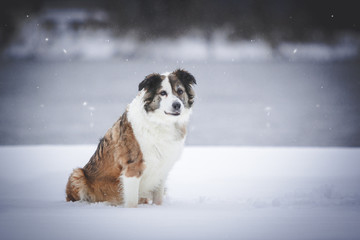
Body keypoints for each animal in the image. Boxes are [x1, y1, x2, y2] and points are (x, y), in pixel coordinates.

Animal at [66, 69, 195, 206]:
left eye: (180, 91)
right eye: (163, 93)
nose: (177, 105)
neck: (160, 123)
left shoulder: (162, 170)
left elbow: (158, 199)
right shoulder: (132, 168)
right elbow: (132, 202)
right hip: (77, 175)